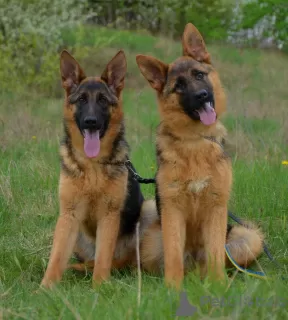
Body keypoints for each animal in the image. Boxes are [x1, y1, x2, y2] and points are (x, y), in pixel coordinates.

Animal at [40, 49, 158, 288]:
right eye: (82, 100)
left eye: (103, 100)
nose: (91, 121)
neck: (92, 165)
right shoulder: (68, 215)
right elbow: (56, 257)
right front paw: (44, 288)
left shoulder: (109, 216)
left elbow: (104, 256)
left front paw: (100, 288)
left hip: (149, 211)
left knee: (119, 260)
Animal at [136, 22, 264, 288]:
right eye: (179, 86)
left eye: (199, 75)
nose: (202, 96)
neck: (195, 141)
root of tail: (194, 269)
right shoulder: (173, 211)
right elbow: (174, 254)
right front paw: (172, 289)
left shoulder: (216, 208)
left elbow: (215, 251)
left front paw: (218, 287)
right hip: (151, 240)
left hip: (248, 237)